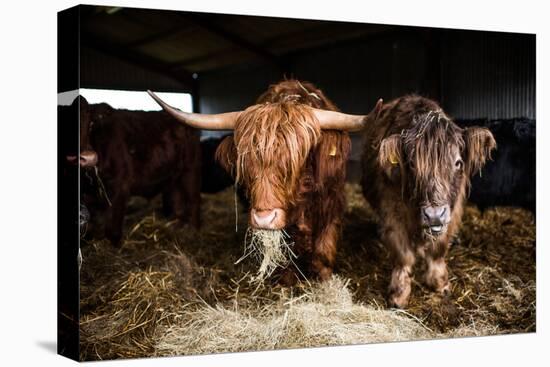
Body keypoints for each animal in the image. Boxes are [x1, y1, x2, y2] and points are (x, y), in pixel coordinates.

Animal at [74, 98, 202, 247]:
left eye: (90, 124)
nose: (87, 157)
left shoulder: (119, 186)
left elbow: (112, 227)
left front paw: (114, 247)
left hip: (190, 170)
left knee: (194, 200)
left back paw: (192, 231)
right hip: (172, 178)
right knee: (175, 202)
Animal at [149, 80, 384, 282]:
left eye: (297, 160)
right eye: (246, 161)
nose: (264, 219)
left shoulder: (332, 201)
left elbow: (324, 247)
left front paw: (324, 278)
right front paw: (286, 279)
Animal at [360, 96, 498, 310]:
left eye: (458, 163)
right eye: (411, 164)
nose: (434, 215)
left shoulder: (452, 212)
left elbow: (438, 249)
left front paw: (440, 283)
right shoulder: (392, 214)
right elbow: (403, 254)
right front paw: (399, 295)